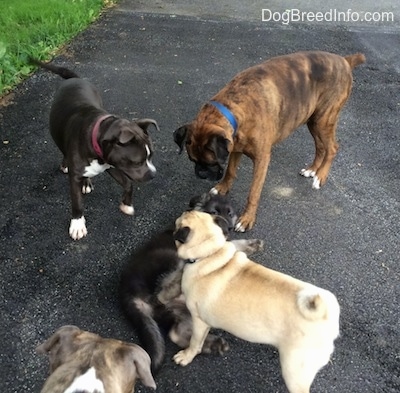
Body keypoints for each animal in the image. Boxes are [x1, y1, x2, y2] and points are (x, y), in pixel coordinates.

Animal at [30, 57, 158, 239]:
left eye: (151, 156)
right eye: (137, 162)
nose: (153, 174)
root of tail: (74, 79)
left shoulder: (113, 164)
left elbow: (128, 184)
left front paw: (126, 205)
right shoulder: (76, 176)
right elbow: (77, 202)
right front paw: (77, 224)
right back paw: (66, 165)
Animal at [119, 193, 262, 374]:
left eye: (230, 213)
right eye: (214, 211)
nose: (228, 228)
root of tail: (127, 294)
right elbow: (232, 245)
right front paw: (249, 244)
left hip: (180, 311)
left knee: (177, 333)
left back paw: (214, 344)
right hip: (171, 259)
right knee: (164, 290)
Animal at [172, 211, 340, 392]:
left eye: (178, 223)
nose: (185, 210)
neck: (212, 253)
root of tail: (328, 318)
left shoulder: (199, 321)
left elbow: (195, 342)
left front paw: (186, 356)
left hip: (294, 371)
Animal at [173, 50, 368, 231]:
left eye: (211, 162)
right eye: (192, 160)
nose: (201, 173)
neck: (234, 109)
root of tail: (344, 60)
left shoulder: (261, 159)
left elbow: (254, 192)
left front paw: (247, 219)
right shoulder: (235, 148)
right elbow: (230, 171)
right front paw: (222, 187)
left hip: (323, 120)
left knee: (333, 148)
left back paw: (320, 176)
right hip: (313, 121)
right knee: (320, 146)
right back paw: (312, 170)